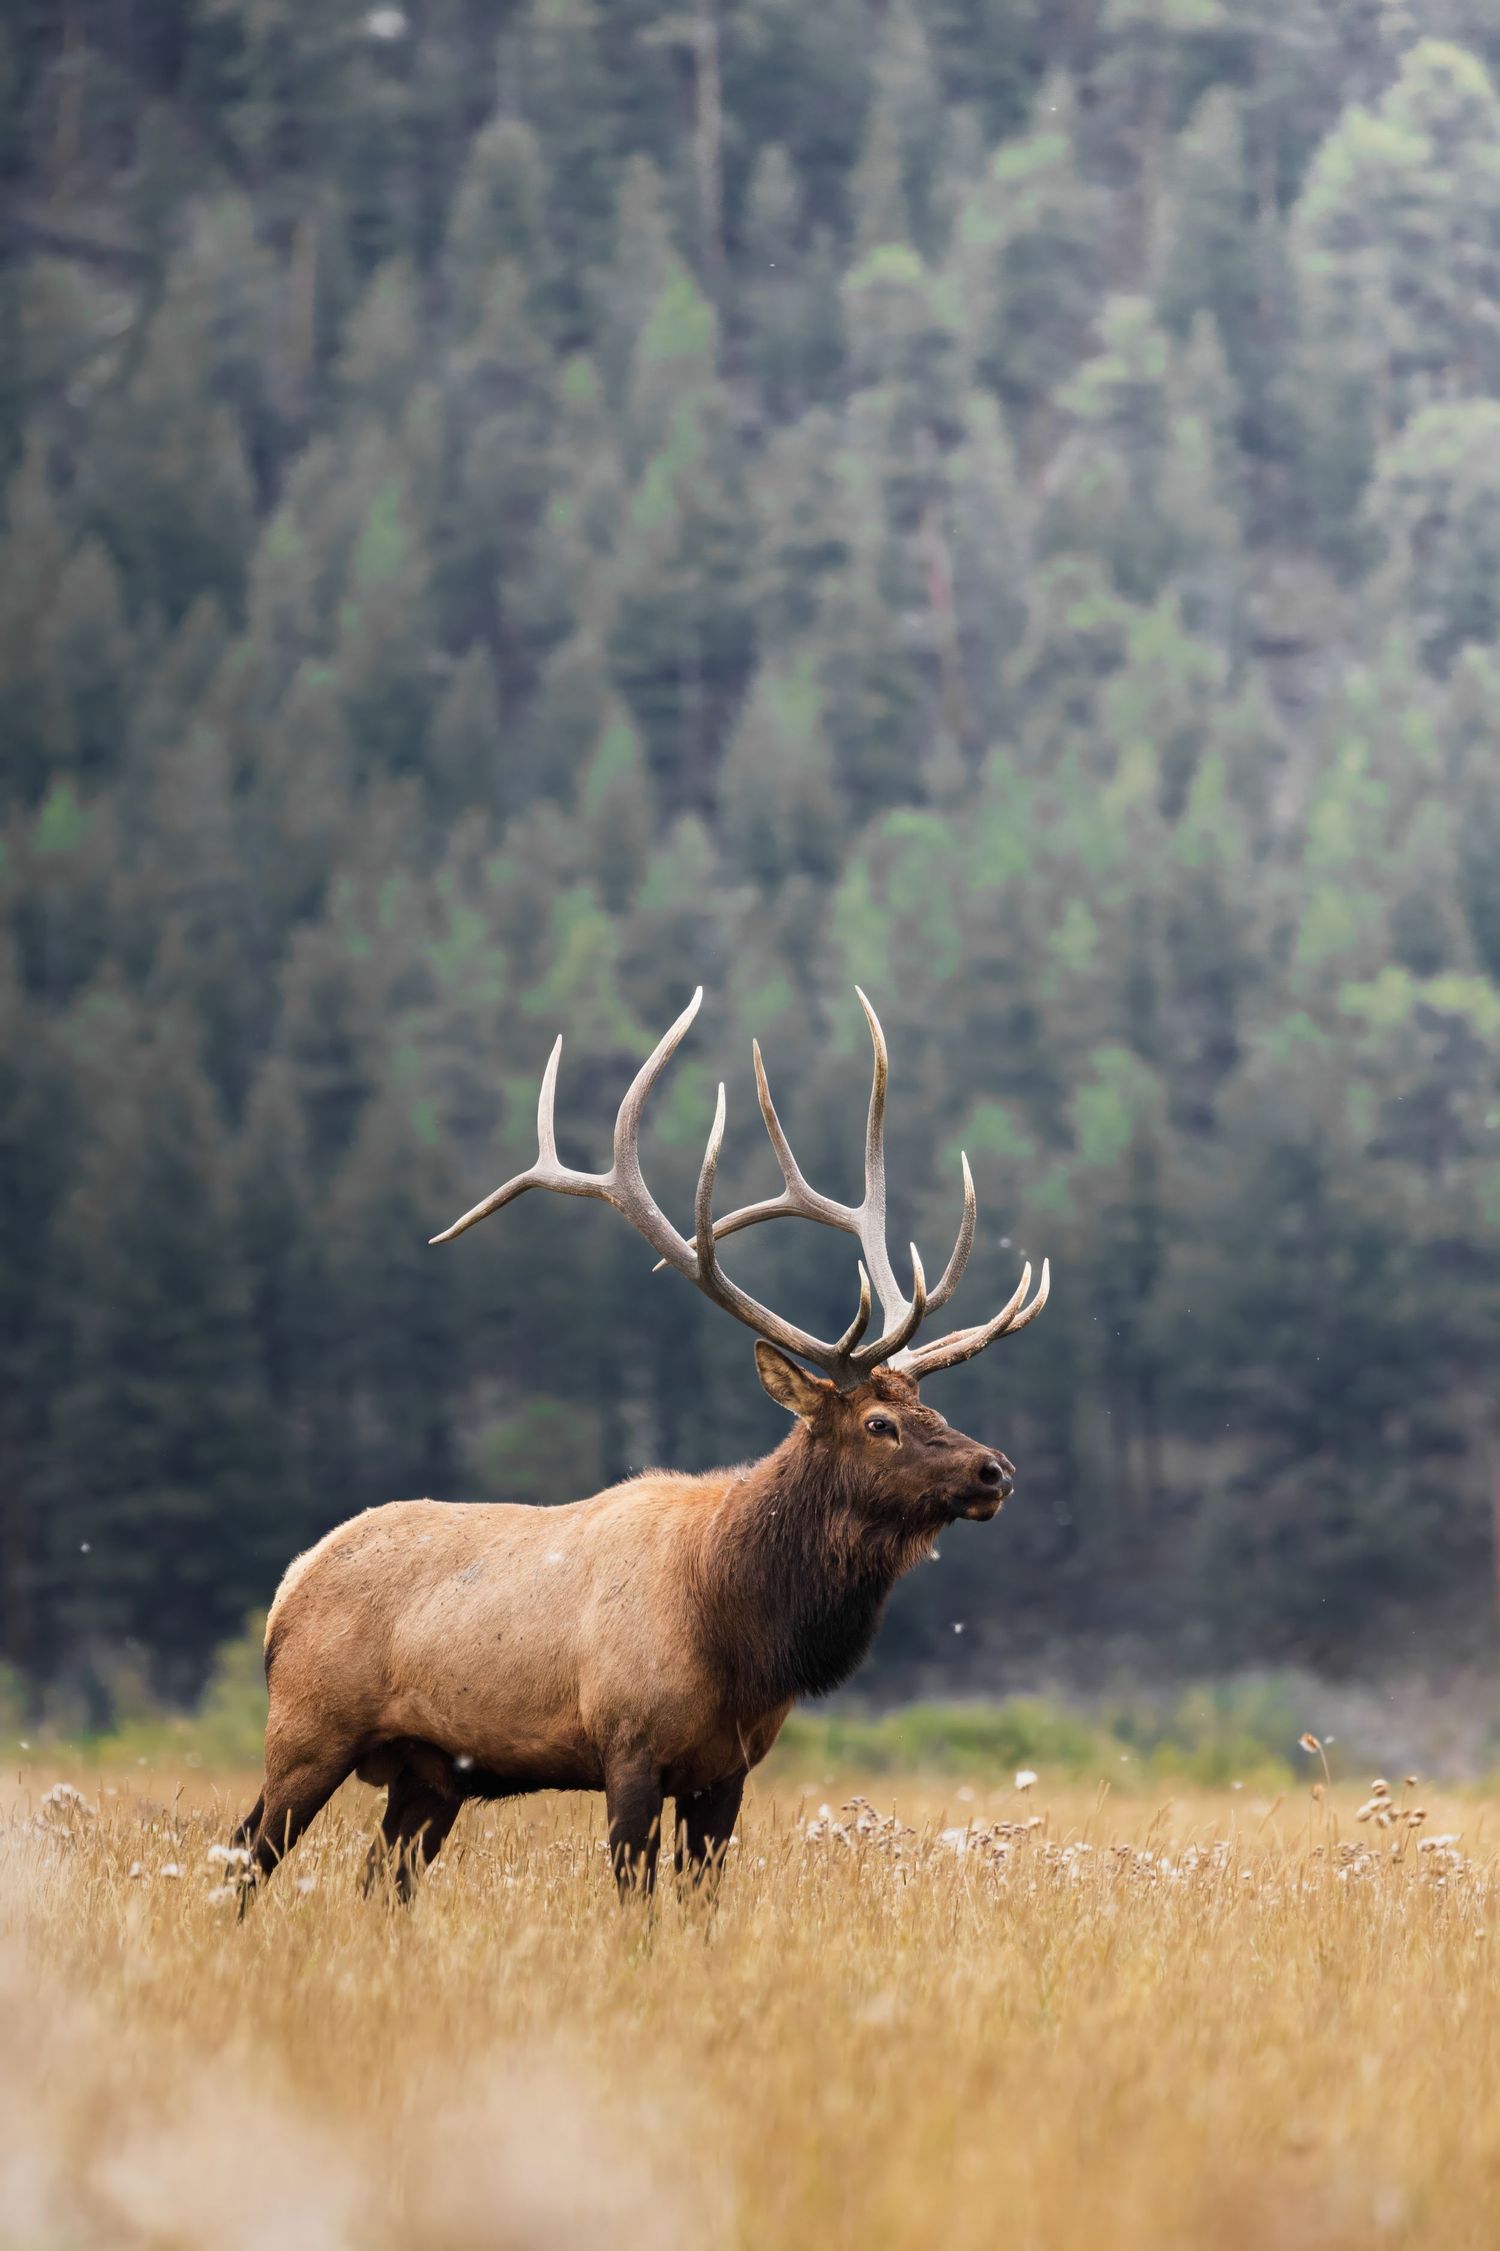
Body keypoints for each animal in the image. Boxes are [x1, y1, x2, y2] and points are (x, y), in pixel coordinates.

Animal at [234, 989, 1049, 1904]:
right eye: (880, 1423)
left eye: (928, 1404)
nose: (995, 1469)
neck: (741, 1627)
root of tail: (288, 1586)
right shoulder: (629, 1744)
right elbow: (636, 1896)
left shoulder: (727, 1769)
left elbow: (699, 1901)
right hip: (307, 1727)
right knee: (246, 1854)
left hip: (427, 1771)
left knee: (379, 1878)